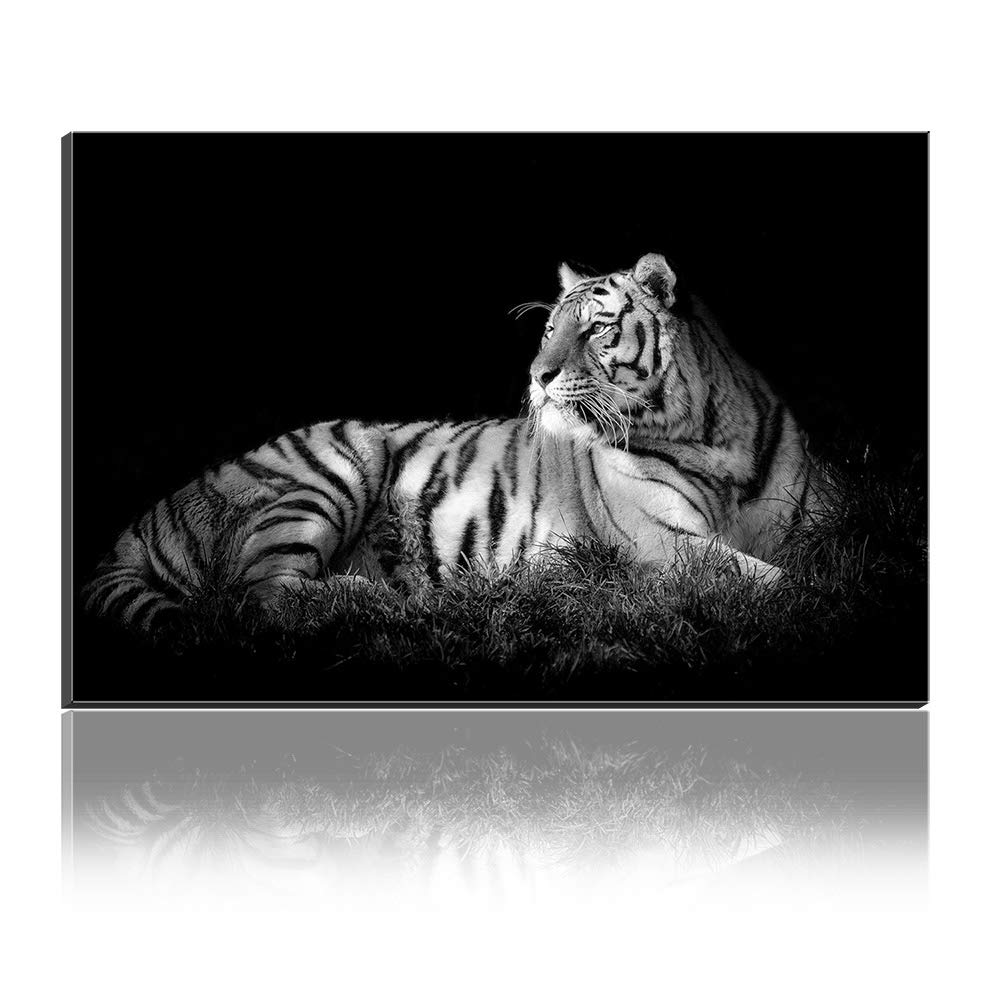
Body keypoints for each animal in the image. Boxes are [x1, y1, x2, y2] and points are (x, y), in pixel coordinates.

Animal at [82, 252, 820, 633]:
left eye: (595, 328)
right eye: (548, 329)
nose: (537, 377)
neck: (712, 437)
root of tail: (147, 517)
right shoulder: (663, 541)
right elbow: (767, 582)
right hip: (330, 469)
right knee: (259, 598)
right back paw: (393, 602)